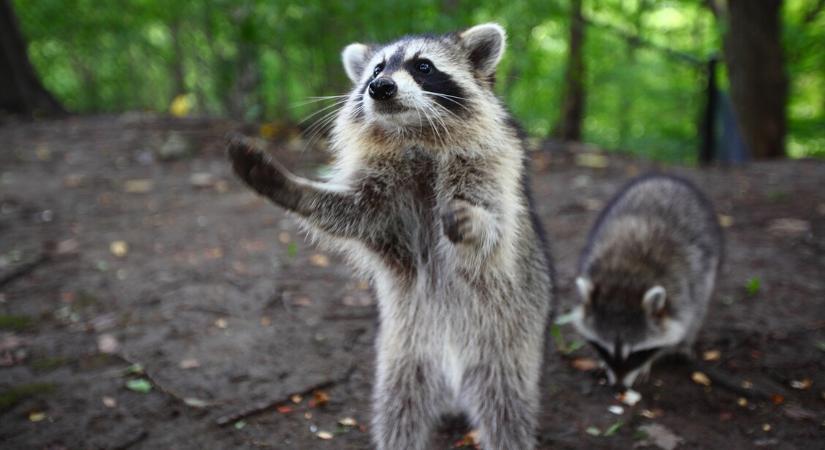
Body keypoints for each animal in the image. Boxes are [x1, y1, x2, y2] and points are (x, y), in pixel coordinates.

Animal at [225, 23, 552, 450]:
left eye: (423, 66)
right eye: (377, 68)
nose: (379, 87)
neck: (414, 136)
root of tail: (453, 384)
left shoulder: (492, 175)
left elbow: (496, 236)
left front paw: (475, 224)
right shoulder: (386, 209)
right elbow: (348, 214)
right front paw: (291, 188)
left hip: (504, 353)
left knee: (506, 414)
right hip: (404, 358)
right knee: (399, 413)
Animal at [572, 174, 720, 388]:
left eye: (636, 355)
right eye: (605, 350)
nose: (619, 387)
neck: (624, 280)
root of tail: (664, 178)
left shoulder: (681, 293)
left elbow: (681, 323)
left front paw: (649, 362)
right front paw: (602, 362)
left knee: (700, 304)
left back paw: (685, 343)